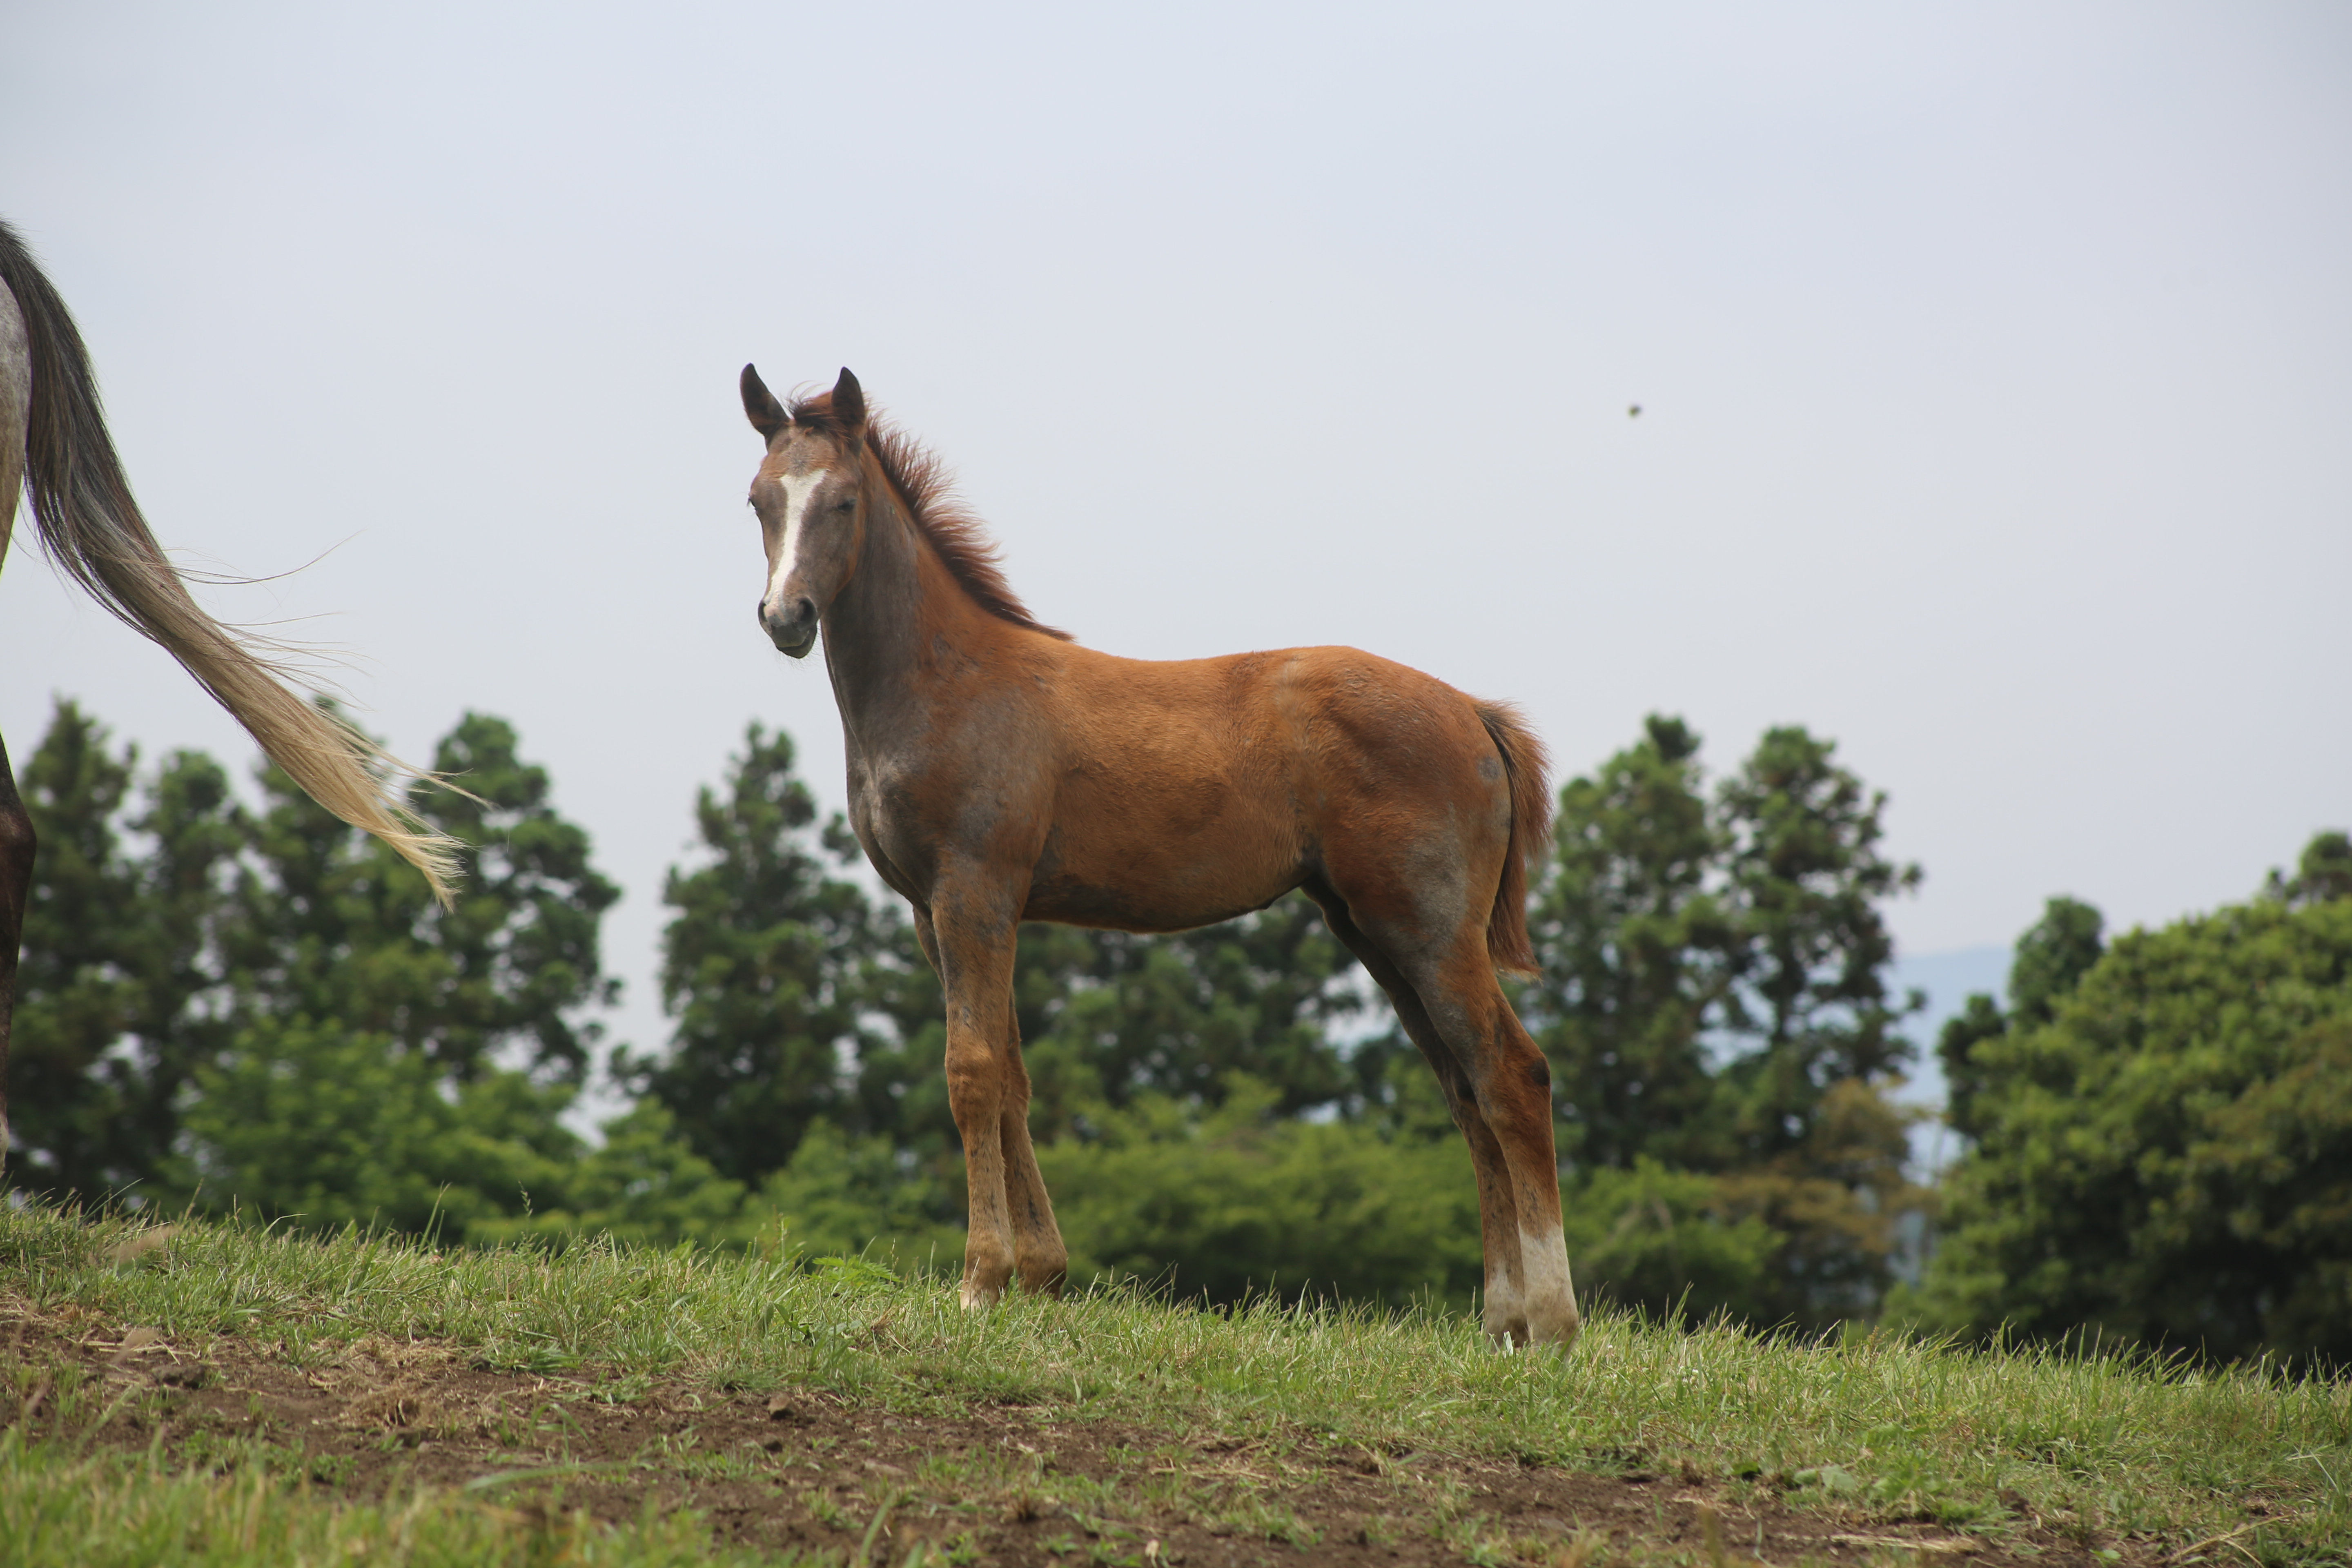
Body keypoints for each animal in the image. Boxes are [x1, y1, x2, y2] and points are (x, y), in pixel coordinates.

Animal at [734, 364, 1580, 1354]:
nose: (786, 617)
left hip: (1431, 929)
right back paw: (1502, 1321)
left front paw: (981, 1283)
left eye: (843, 500)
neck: (947, 682)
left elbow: (972, 1072)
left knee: (1512, 1076)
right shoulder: (934, 912)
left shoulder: (974, 892)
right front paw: (1042, 1277)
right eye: (759, 500)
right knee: (1465, 1090)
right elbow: (1015, 1077)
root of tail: (1475, 713)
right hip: (1374, 931)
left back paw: (1553, 1322)